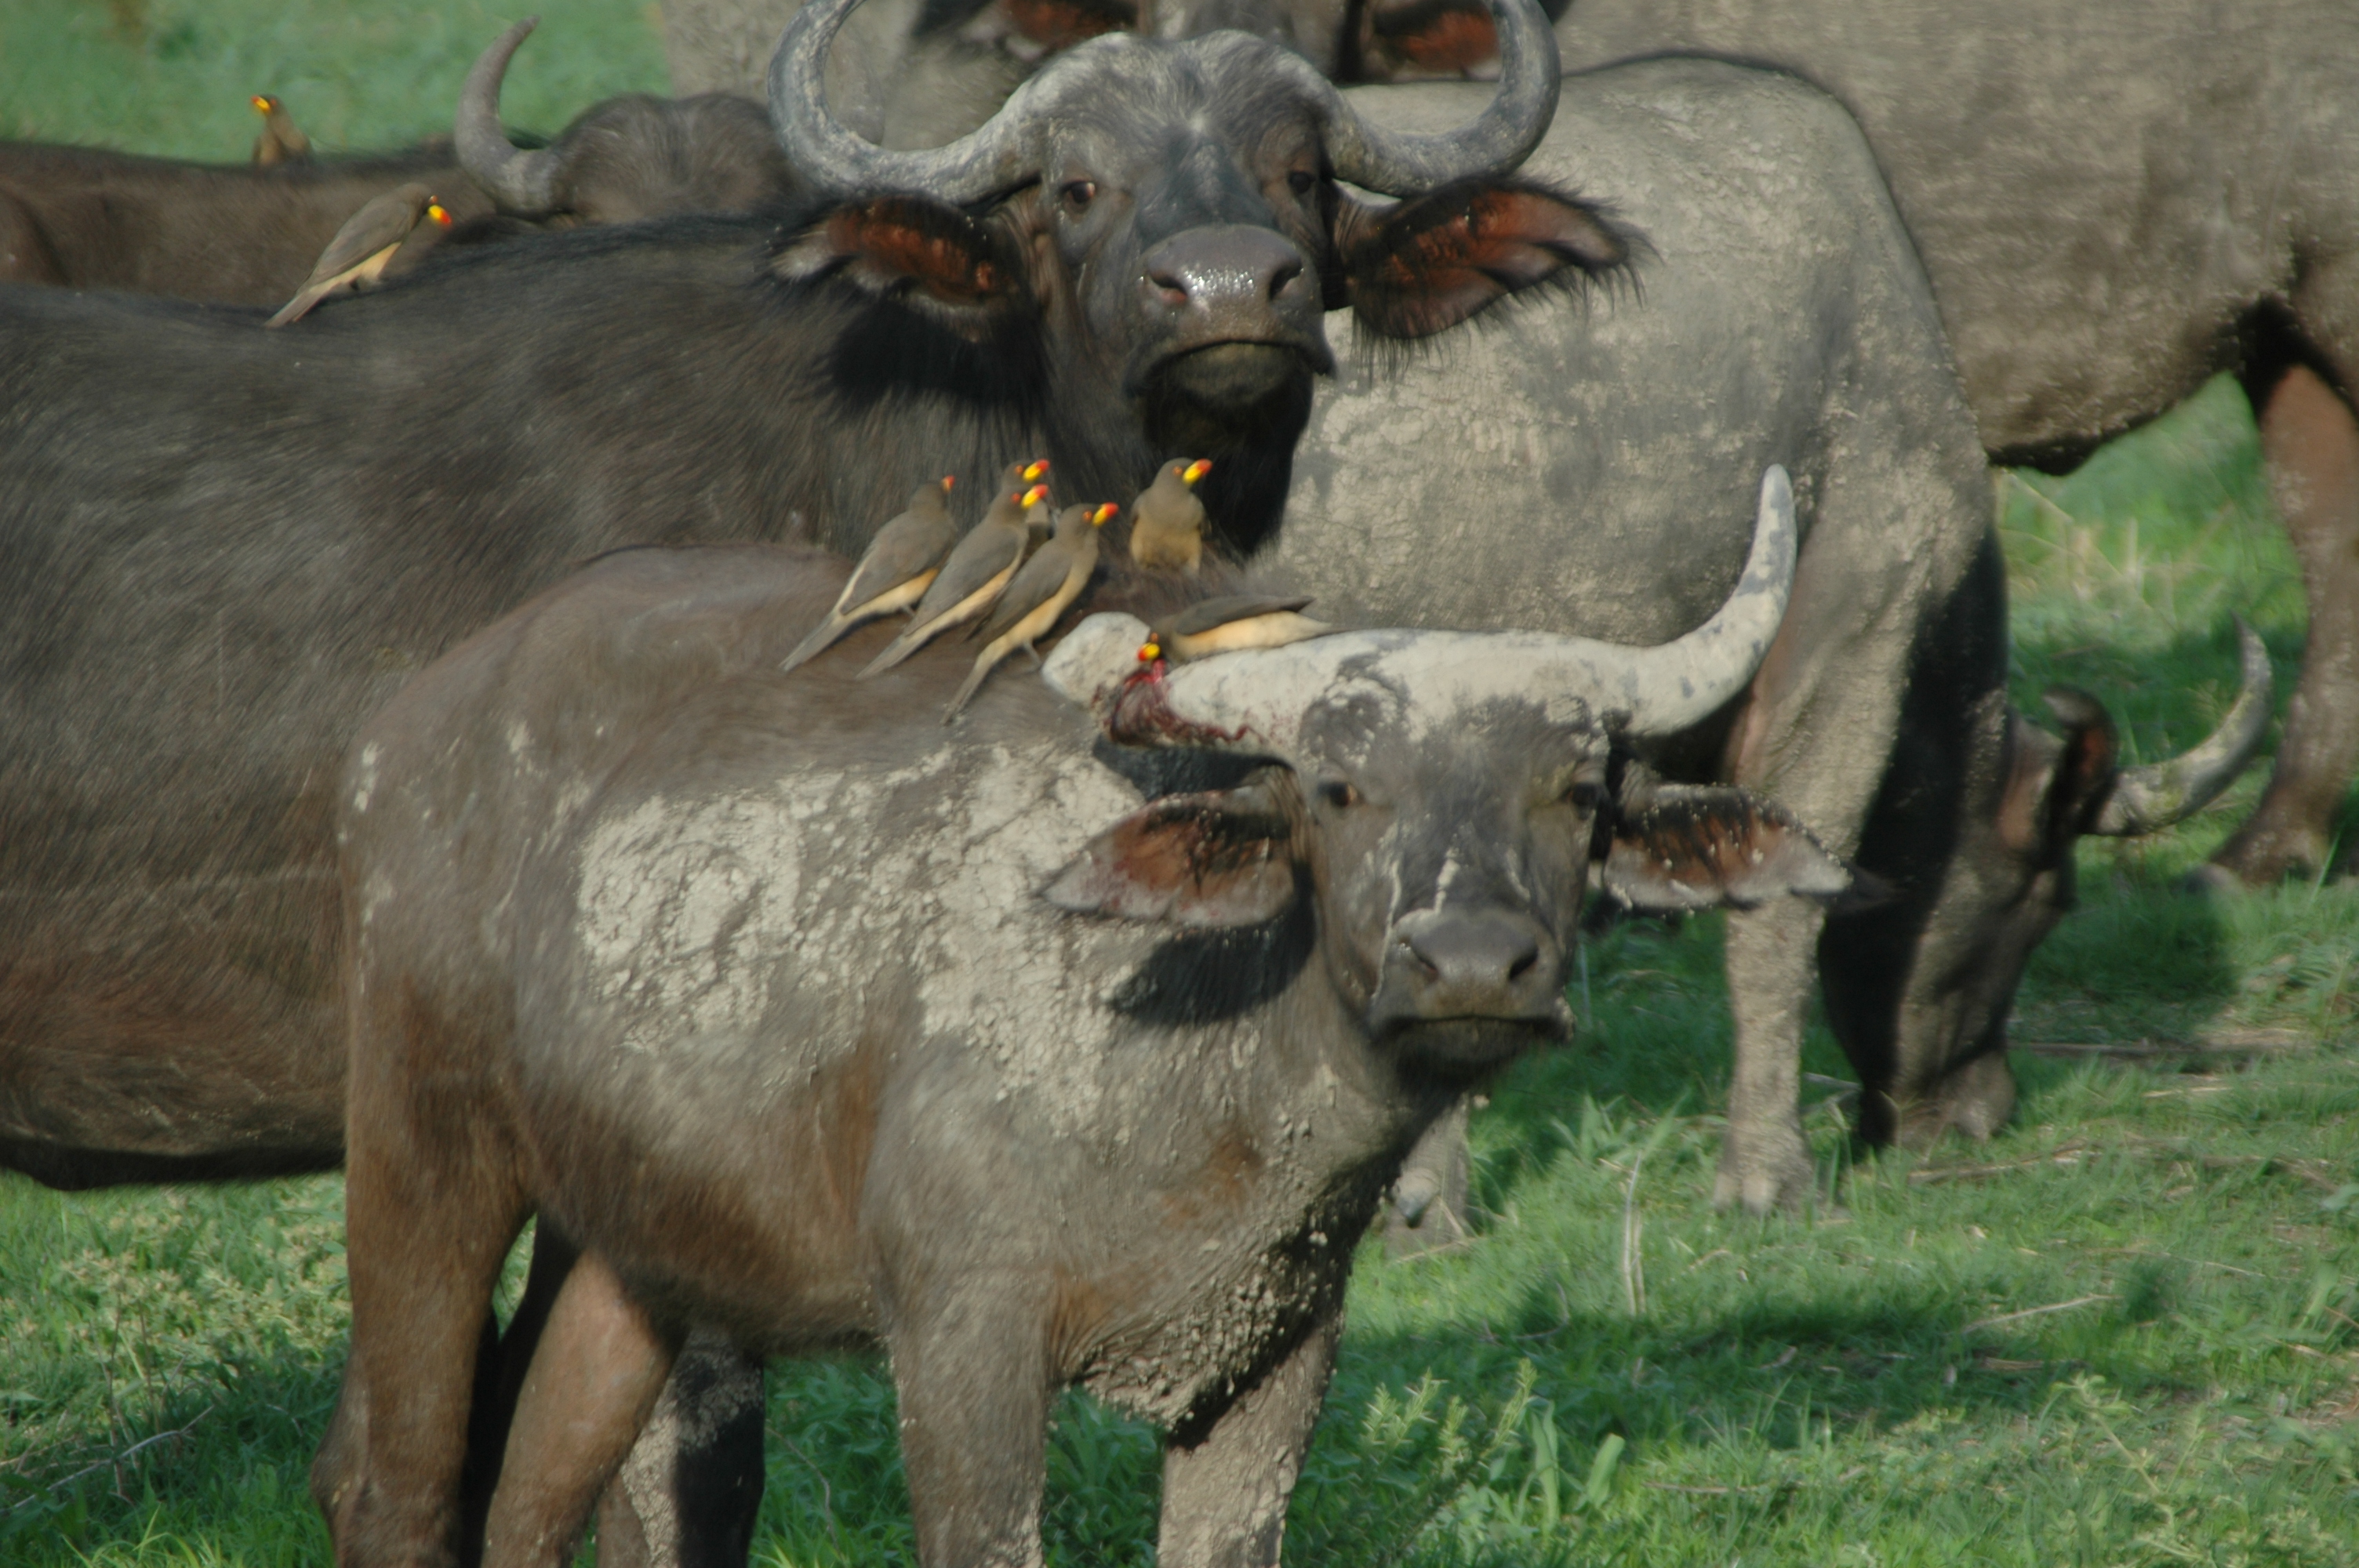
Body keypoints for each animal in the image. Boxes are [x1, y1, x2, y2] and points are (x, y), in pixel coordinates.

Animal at [323, 481, 1845, 1568]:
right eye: (1340, 788)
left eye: (1576, 791)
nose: (1471, 963)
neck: (1207, 1084)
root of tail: (416, 719)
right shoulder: (963, 1344)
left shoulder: (1275, 1360)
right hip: (417, 1155)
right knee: (394, 1485)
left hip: (628, 1249)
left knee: (537, 1498)